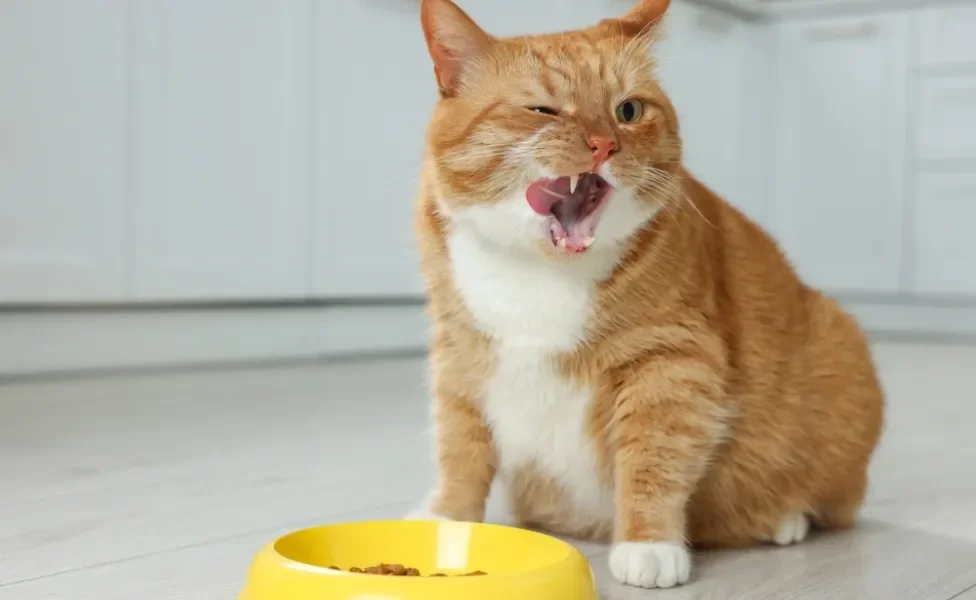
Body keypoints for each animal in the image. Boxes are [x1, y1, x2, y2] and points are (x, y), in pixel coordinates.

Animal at [404, 0, 884, 588]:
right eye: (543, 110)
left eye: (628, 110)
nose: (604, 143)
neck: (539, 274)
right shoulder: (457, 357)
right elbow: (460, 449)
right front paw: (445, 519)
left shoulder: (671, 363)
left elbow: (654, 457)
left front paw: (648, 543)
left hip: (839, 346)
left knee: (828, 504)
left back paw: (784, 519)